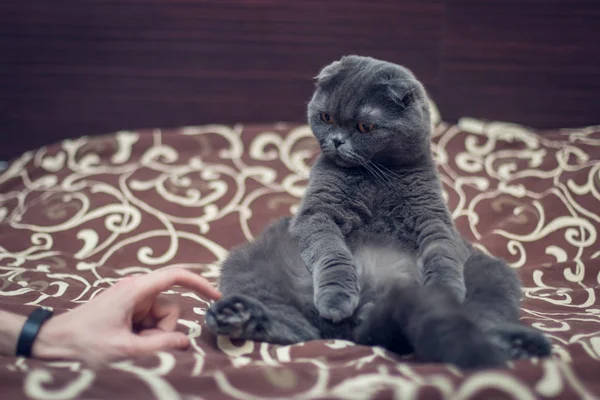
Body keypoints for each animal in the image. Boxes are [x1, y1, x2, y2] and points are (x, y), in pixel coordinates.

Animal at [204, 56, 552, 368]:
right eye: (326, 117)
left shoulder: (433, 217)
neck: (375, 177)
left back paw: (524, 345)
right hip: (247, 264)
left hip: (493, 273)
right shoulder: (317, 215)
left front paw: (444, 289)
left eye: (365, 126)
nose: (336, 141)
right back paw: (236, 316)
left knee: (482, 321)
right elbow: (332, 254)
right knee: (295, 328)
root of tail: (369, 312)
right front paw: (336, 297)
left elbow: (441, 253)